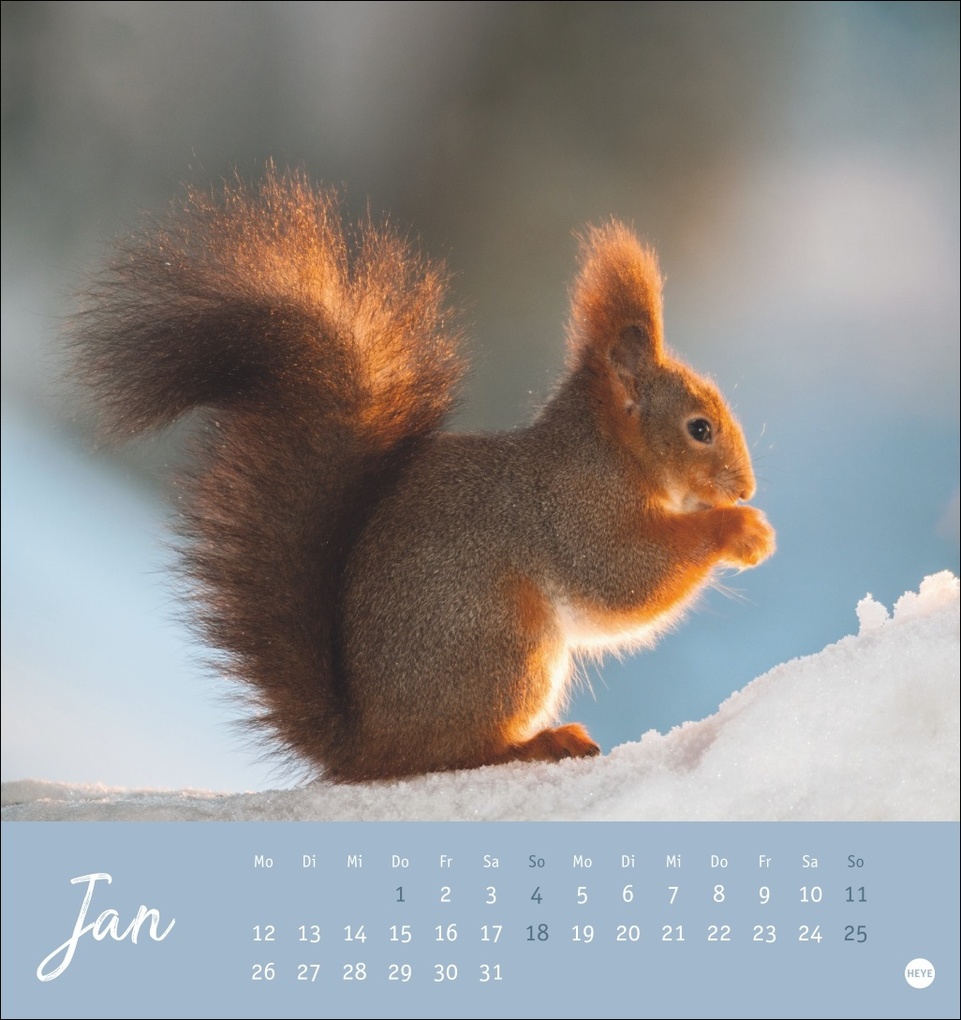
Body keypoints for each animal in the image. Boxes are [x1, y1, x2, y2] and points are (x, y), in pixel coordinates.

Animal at [74, 169, 775, 783]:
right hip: (503, 647)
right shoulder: (574, 510)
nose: (746, 488)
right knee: (455, 755)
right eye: (699, 428)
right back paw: (537, 744)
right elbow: (625, 578)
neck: (609, 453)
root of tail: (368, 746)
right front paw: (739, 529)